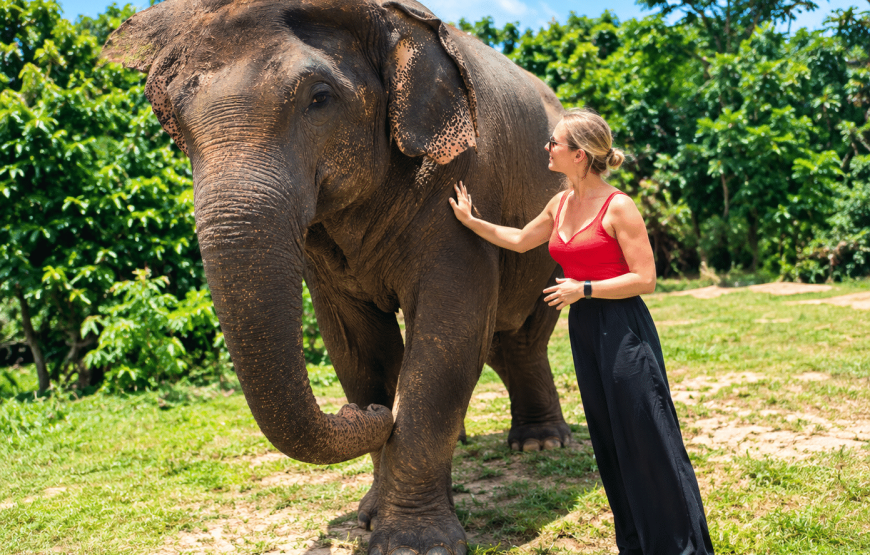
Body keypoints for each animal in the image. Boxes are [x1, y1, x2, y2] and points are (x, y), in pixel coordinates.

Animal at [103, 0, 571, 552]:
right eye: (172, 122)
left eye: (319, 98)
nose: (364, 416)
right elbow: (359, 351)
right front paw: (368, 514)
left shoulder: (465, 178)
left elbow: (448, 336)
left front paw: (412, 542)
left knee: (522, 335)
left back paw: (540, 445)